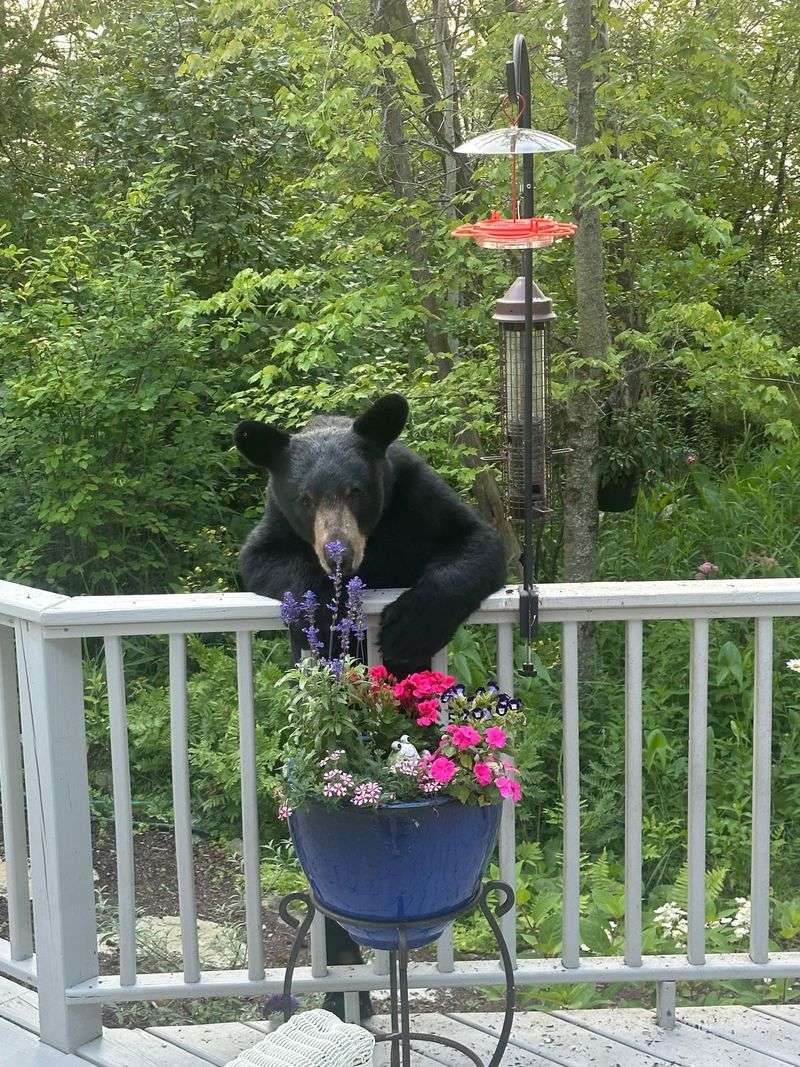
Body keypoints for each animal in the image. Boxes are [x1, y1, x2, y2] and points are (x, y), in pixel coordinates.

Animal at [234, 393, 507, 1019]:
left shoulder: (418, 496)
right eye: (306, 498)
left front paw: (410, 624)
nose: (339, 553)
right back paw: (343, 989)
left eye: (358, 491)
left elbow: (478, 544)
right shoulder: (273, 527)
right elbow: (265, 562)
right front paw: (327, 615)